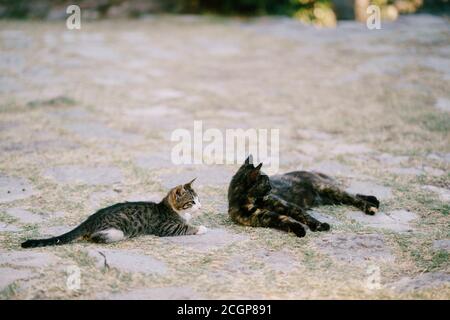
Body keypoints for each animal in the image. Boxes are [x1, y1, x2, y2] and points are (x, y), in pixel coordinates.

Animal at [20, 179, 204, 249]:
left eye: (199, 199)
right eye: (192, 202)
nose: (201, 207)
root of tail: (90, 219)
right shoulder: (166, 228)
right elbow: (185, 228)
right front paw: (201, 228)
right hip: (116, 231)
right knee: (95, 237)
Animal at [229, 156, 380, 238]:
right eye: (266, 181)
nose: (271, 187)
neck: (254, 200)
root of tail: (310, 172)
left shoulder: (288, 206)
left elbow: (304, 216)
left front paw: (319, 225)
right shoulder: (264, 217)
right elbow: (284, 220)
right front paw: (299, 230)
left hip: (328, 189)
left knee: (353, 197)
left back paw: (371, 206)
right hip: (331, 199)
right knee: (352, 196)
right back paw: (374, 201)